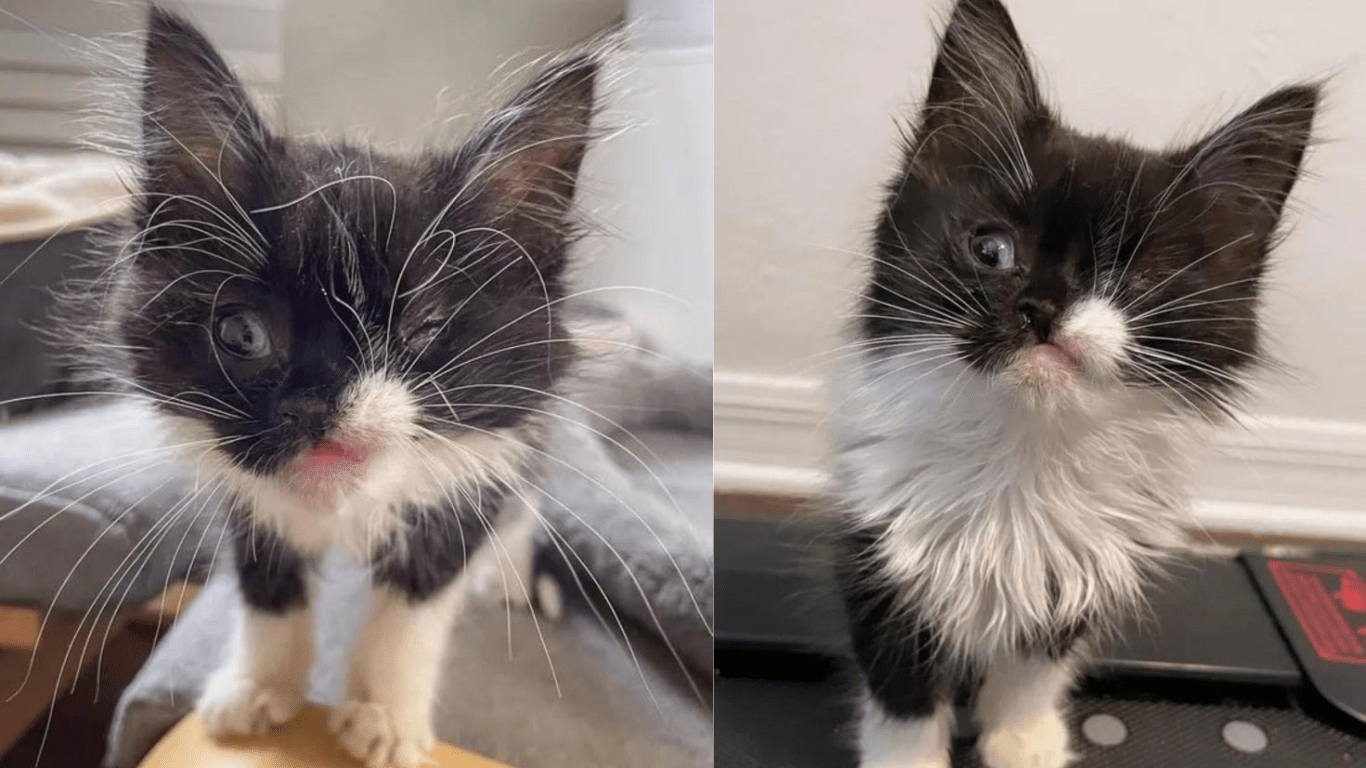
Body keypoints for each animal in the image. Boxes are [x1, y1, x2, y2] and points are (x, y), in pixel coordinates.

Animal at [58, 7, 603, 765]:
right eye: (243, 333)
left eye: (422, 328)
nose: (316, 405)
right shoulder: (245, 492)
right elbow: (266, 582)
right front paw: (261, 687)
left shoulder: (483, 456)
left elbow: (417, 601)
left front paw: (385, 715)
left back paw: (509, 574)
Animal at [825, 1, 1316, 765]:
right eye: (992, 249)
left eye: (1134, 281)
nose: (1041, 308)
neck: (1025, 448)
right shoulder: (880, 550)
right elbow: (901, 687)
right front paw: (908, 759)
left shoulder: (1082, 565)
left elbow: (1035, 661)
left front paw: (1024, 740)